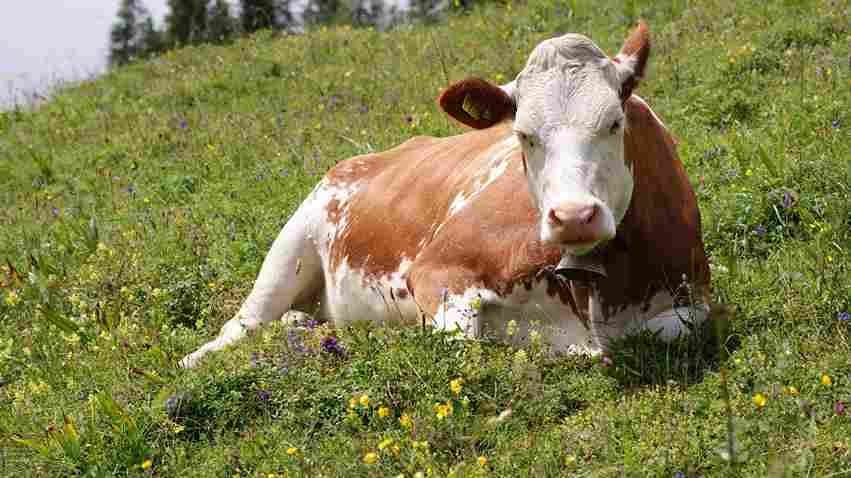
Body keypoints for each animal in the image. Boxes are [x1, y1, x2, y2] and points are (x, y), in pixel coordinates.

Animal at [180, 22, 711, 369]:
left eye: (614, 122)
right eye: (523, 135)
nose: (574, 215)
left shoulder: (696, 297)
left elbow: (673, 329)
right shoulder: (436, 270)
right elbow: (463, 341)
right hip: (290, 247)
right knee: (240, 327)